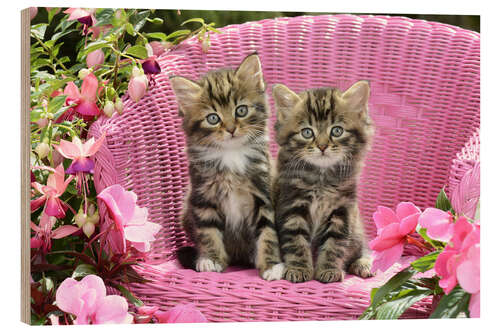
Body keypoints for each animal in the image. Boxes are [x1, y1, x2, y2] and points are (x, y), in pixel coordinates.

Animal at [169, 53, 284, 280]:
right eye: (213, 118)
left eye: (241, 110)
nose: (231, 129)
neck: (231, 155)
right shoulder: (202, 197)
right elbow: (208, 232)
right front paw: (210, 259)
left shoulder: (262, 194)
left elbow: (267, 232)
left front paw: (271, 265)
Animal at [272, 81, 374, 282]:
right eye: (307, 132)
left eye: (337, 130)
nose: (322, 146)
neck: (322, 178)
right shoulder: (292, 205)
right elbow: (296, 241)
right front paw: (298, 268)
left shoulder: (343, 210)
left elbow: (335, 243)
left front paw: (329, 270)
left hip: (357, 230)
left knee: (364, 248)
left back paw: (362, 264)